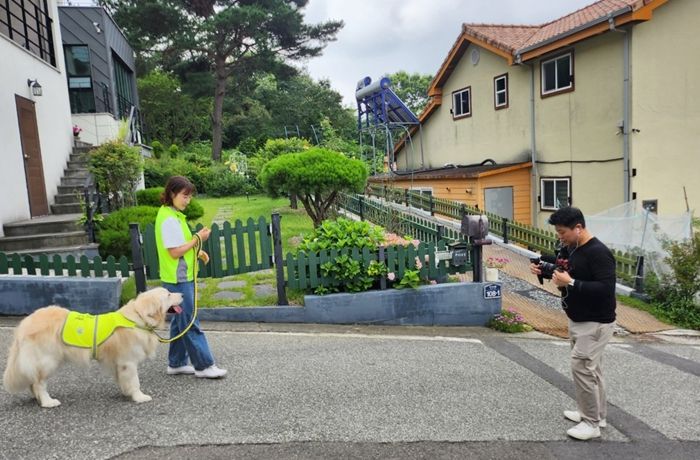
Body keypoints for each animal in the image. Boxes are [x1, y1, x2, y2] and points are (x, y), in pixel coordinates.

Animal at [2, 287, 183, 408]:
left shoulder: (118, 363)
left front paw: (126, 392)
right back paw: (47, 401)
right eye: (168, 294)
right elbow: (134, 381)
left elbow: (123, 380)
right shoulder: (128, 361)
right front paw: (139, 397)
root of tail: (25, 324)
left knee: (33, 381)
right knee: (38, 382)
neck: (139, 318)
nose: (182, 294)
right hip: (48, 360)